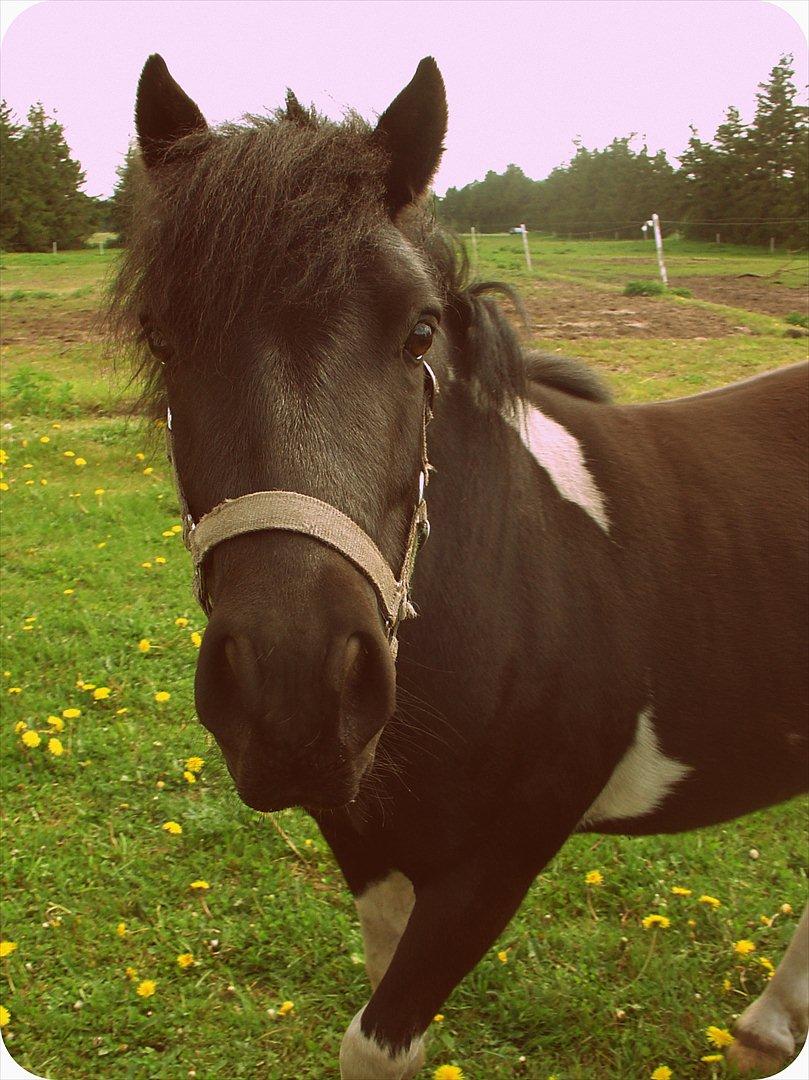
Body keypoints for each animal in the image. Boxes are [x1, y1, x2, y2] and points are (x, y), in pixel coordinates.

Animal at [111, 52, 807, 1080]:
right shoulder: (371, 844)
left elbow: (378, 1042)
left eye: (419, 332)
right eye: (163, 336)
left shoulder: (496, 864)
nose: (293, 689)